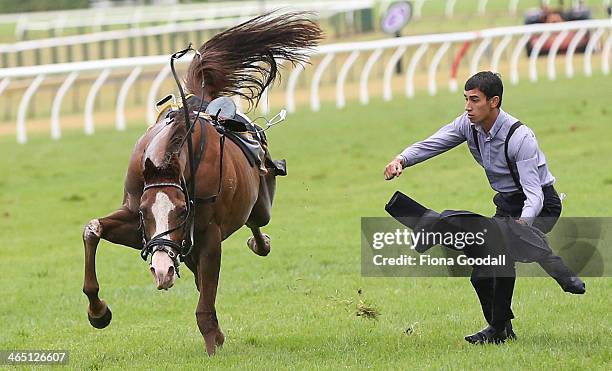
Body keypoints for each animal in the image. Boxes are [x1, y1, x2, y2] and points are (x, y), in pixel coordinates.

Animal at [82, 12, 322, 358]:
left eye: (183, 212)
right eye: (144, 213)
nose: (162, 270)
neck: (172, 159)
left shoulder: (208, 234)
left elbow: (204, 301)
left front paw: (213, 343)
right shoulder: (138, 224)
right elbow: (93, 230)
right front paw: (98, 312)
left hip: (260, 205)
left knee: (256, 224)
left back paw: (260, 242)